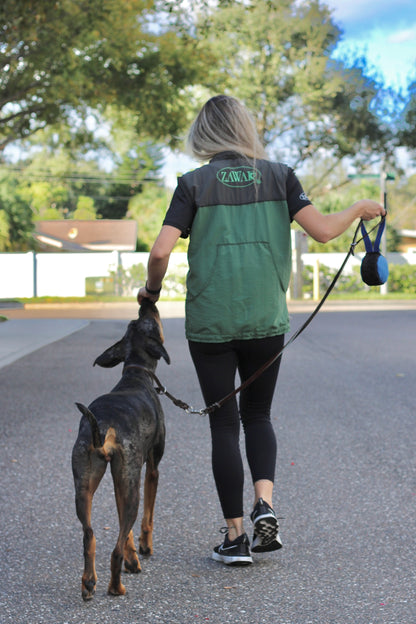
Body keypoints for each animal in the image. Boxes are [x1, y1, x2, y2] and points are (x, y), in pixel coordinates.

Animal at [71, 300, 169, 604]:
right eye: (151, 322)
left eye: (133, 323)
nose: (146, 302)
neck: (136, 374)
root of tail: (103, 426)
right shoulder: (151, 469)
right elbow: (147, 518)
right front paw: (143, 550)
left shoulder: (120, 480)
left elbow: (122, 529)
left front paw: (132, 558)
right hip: (131, 482)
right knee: (113, 549)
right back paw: (116, 587)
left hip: (86, 483)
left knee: (89, 535)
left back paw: (89, 583)